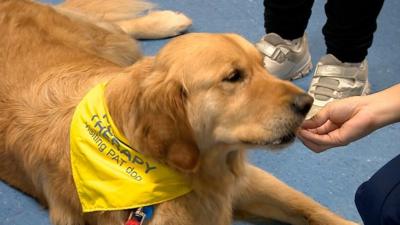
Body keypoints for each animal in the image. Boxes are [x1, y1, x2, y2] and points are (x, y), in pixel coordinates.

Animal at [0, 0, 356, 225]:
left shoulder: (244, 179)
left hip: (112, 43)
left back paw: (168, 20)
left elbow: (309, 207)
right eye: (233, 77)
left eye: (262, 66)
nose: (306, 104)